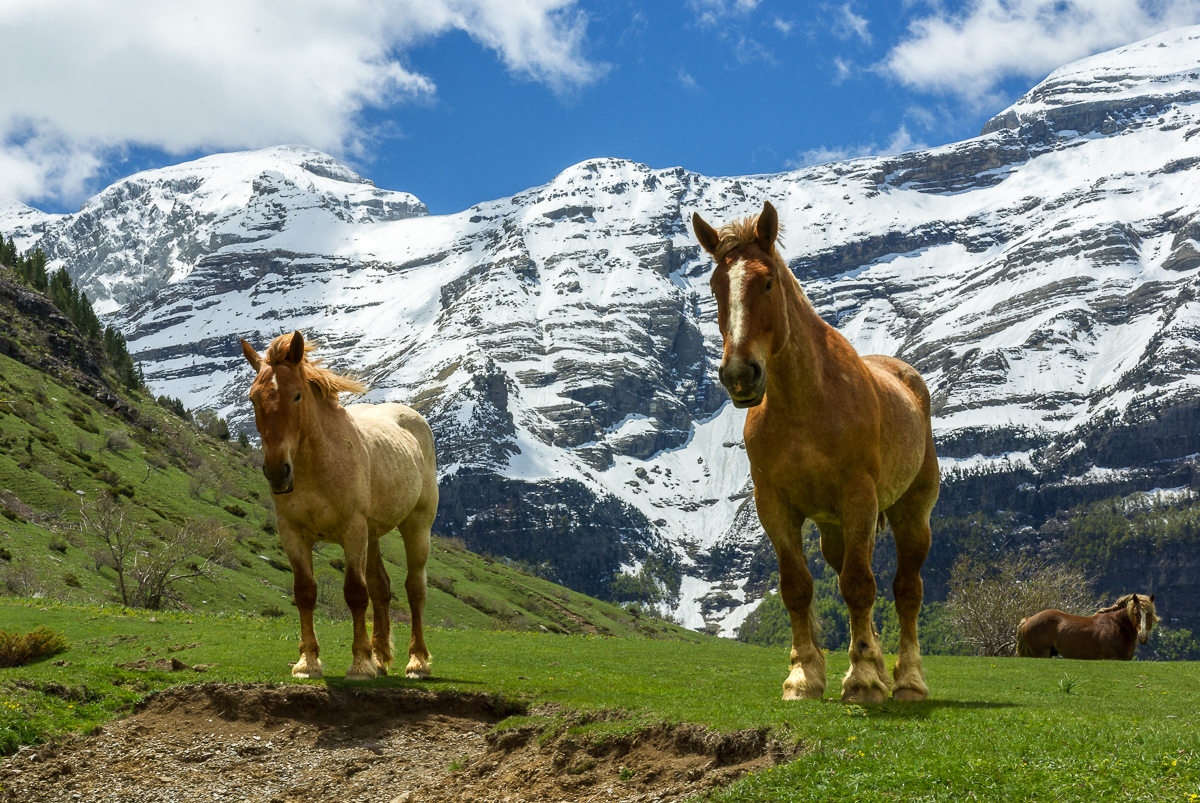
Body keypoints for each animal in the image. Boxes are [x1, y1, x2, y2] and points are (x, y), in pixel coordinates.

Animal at [236, 328, 439, 681]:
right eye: (252, 398)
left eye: (297, 396)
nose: (277, 472)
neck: (317, 463)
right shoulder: (292, 533)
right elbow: (305, 592)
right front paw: (308, 662)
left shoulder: (352, 530)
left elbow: (355, 593)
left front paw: (359, 664)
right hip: (373, 535)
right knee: (381, 588)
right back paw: (380, 658)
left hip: (416, 525)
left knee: (415, 589)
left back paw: (416, 662)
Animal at [696, 201, 936, 700]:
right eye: (714, 287)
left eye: (767, 281)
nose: (739, 375)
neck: (806, 404)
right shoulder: (774, 505)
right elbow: (798, 588)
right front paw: (804, 676)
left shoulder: (859, 497)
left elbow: (860, 586)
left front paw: (861, 679)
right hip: (834, 530)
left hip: (911, 513)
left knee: (907, 590)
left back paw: (907, 680)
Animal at [1017, 592, 1156, 662]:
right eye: (1136, 613)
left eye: (1150, 614)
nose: (1143, 637)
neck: (1115, 625)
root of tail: (1028, 620)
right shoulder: (1112, 658)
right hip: (1041, 654)